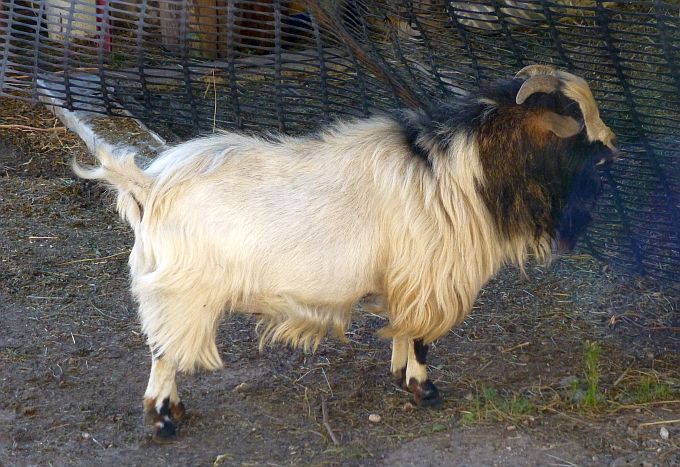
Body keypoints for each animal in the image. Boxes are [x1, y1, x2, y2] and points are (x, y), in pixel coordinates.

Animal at [73, 64, 616, 440]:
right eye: (576, 121)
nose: (613, 151)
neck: (461, 169)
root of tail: (149, 185)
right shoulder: (429, 277)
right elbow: (422, 339)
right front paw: (424, 390)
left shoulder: (406, 279)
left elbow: (403, 329)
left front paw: (401, 375)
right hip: (183, 295)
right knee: (164, 356)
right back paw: (165, 421)